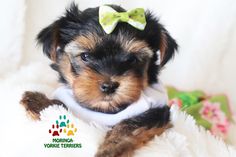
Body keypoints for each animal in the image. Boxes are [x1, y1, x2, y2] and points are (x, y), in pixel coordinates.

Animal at [21, 2, 177, 157]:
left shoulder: (157, 111)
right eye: (85, 56)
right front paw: (39, 102)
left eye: (132, 59)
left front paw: (110, 149)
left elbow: (130, 125)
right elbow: (62, 106)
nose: (109, 86)